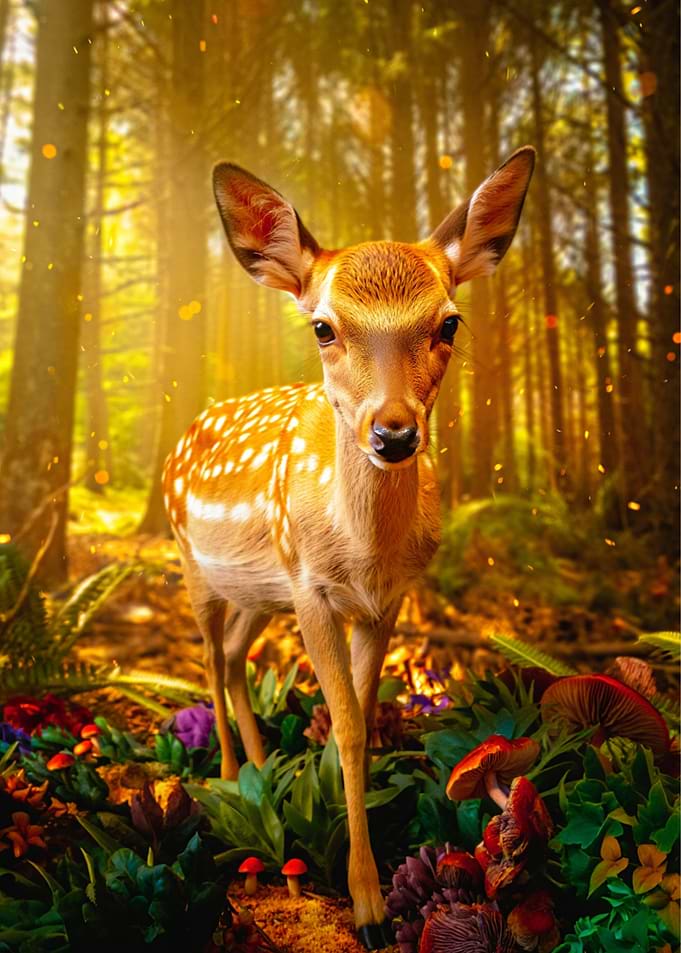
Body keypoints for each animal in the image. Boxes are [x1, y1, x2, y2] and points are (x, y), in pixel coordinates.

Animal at [162, 145, 535, 949]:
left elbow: (355, 715)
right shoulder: (311, 587)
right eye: (323, 328)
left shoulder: (384, 600)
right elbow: (355, 724)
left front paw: (332, 821)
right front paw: (365, 904)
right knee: (205, 657)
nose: (393, 433)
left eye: (449, 321)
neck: (363, 550)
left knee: (233, 657)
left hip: (257, 592)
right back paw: (224, 777)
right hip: (193, 563)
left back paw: (263, 773)